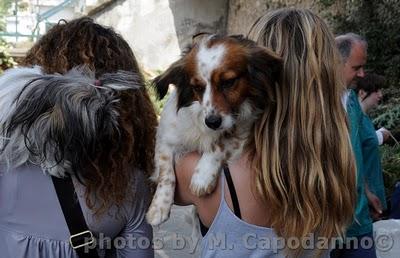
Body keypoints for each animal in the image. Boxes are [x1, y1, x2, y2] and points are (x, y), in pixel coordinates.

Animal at [146, 34, 282, 226]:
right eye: (197, 87)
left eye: (229, 82)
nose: (212, 122)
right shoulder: (165, 139)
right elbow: (166, 173)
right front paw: (159, 207)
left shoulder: (243, 131)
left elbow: (219, 145)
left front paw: (202, 177)